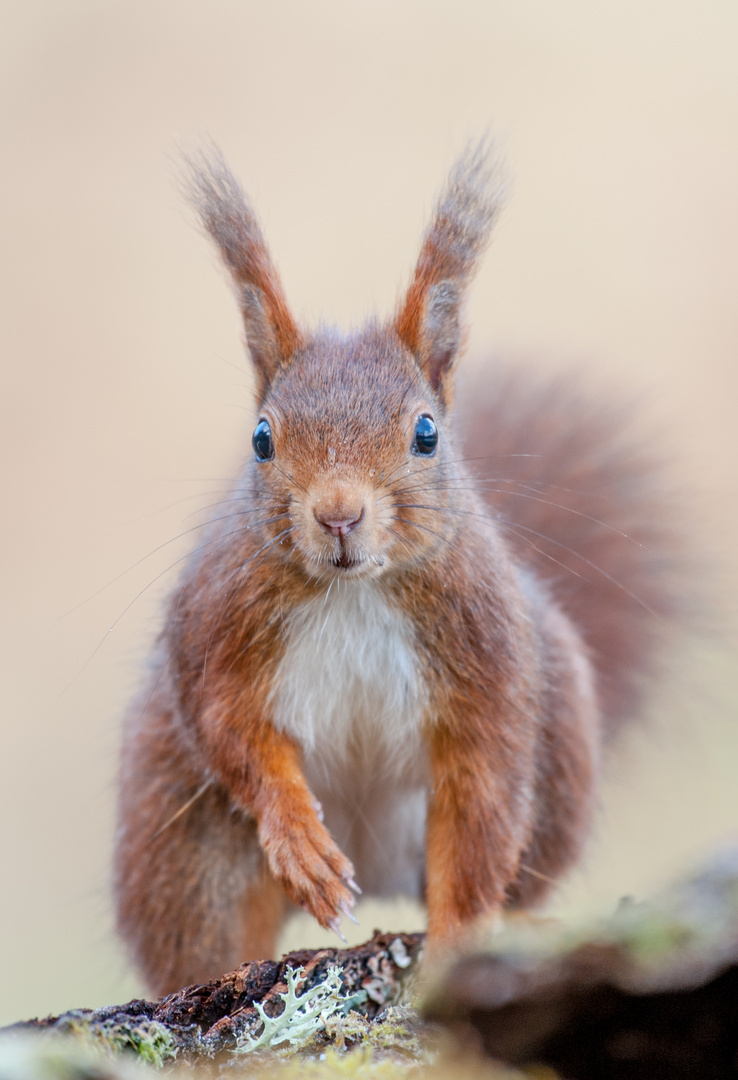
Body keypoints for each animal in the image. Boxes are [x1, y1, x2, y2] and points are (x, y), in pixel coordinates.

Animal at [112, 143, 682, 993]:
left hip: (562, 755)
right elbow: (232, 732)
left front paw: (458, 944)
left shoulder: (489, 667)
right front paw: (299, 841)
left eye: (426, 432)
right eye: (260, 438)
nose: (339, 515)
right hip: (178, 834)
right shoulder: (214, 630)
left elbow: (480, 812)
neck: (353, 591)